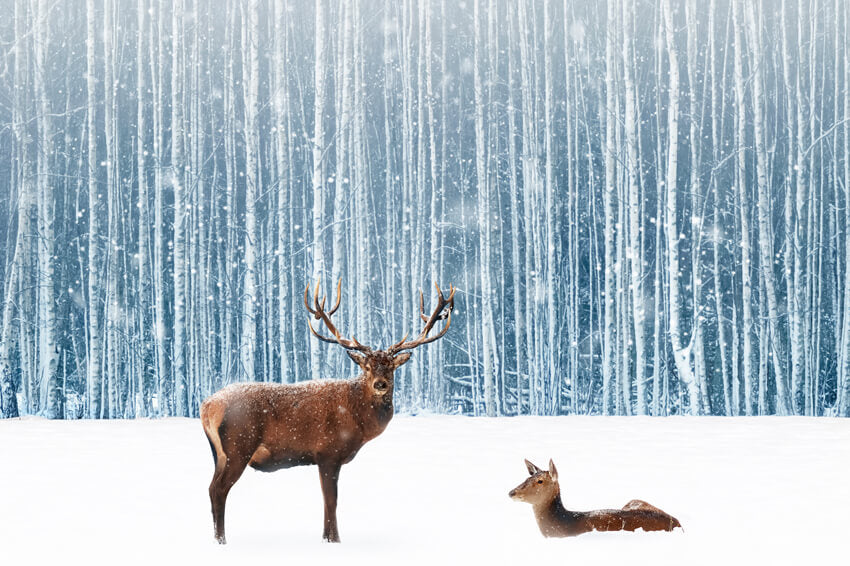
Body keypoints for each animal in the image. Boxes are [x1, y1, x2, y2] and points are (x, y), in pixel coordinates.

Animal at [200, 279, 455, 544]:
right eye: (366, 367)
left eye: (390, 367)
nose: (380, 384)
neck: (358, 422)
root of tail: (207, 405)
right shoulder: (328, 453)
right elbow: (331, 501)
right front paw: (334, 540)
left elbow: (327, 502)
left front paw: (326, 539)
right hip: (239, 445)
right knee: (219, 490)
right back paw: (221, 541)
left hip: (219, 453)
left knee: (210, 488)